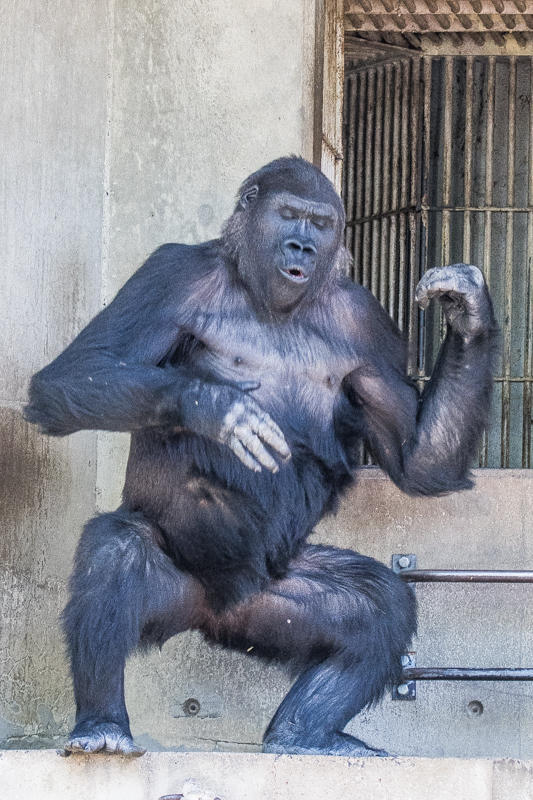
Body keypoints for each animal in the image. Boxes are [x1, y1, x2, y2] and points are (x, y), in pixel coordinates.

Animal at [25, 155, 496, 756]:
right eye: (289, 214)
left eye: (321, 224)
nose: (302, 247)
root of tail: (211, 614)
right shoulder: (169, 272)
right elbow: (72, 374)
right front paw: (213, 407)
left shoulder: (366, 321)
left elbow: (418, 461)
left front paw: (468, 310)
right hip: (179, 586)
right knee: (118, 550)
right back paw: (102, 724)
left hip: (272, 603)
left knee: (377, 606)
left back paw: (305, 732)